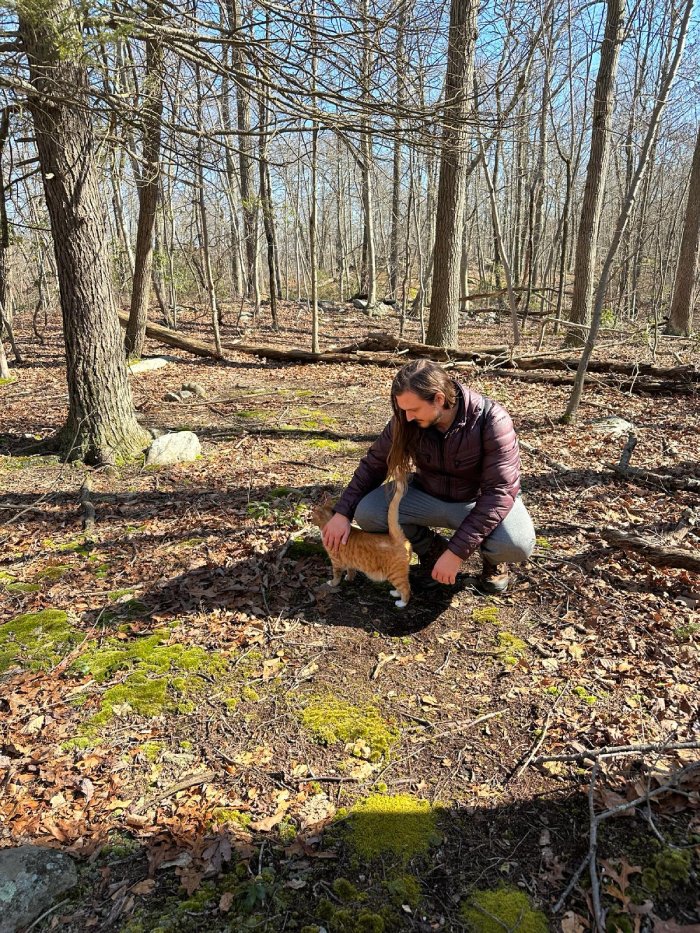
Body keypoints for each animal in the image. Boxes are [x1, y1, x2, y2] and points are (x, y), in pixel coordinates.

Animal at [310, 476, 410, 608]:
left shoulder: (336, 562)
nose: (308, 518)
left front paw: (332, 583)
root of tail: (396, 538)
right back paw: (395, 593)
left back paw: (401, 603)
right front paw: (349, 578)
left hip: (395, 574)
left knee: (406, 588)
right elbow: (351, 570)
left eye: (312, 515)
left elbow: (336, 575)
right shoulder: (349, 561)